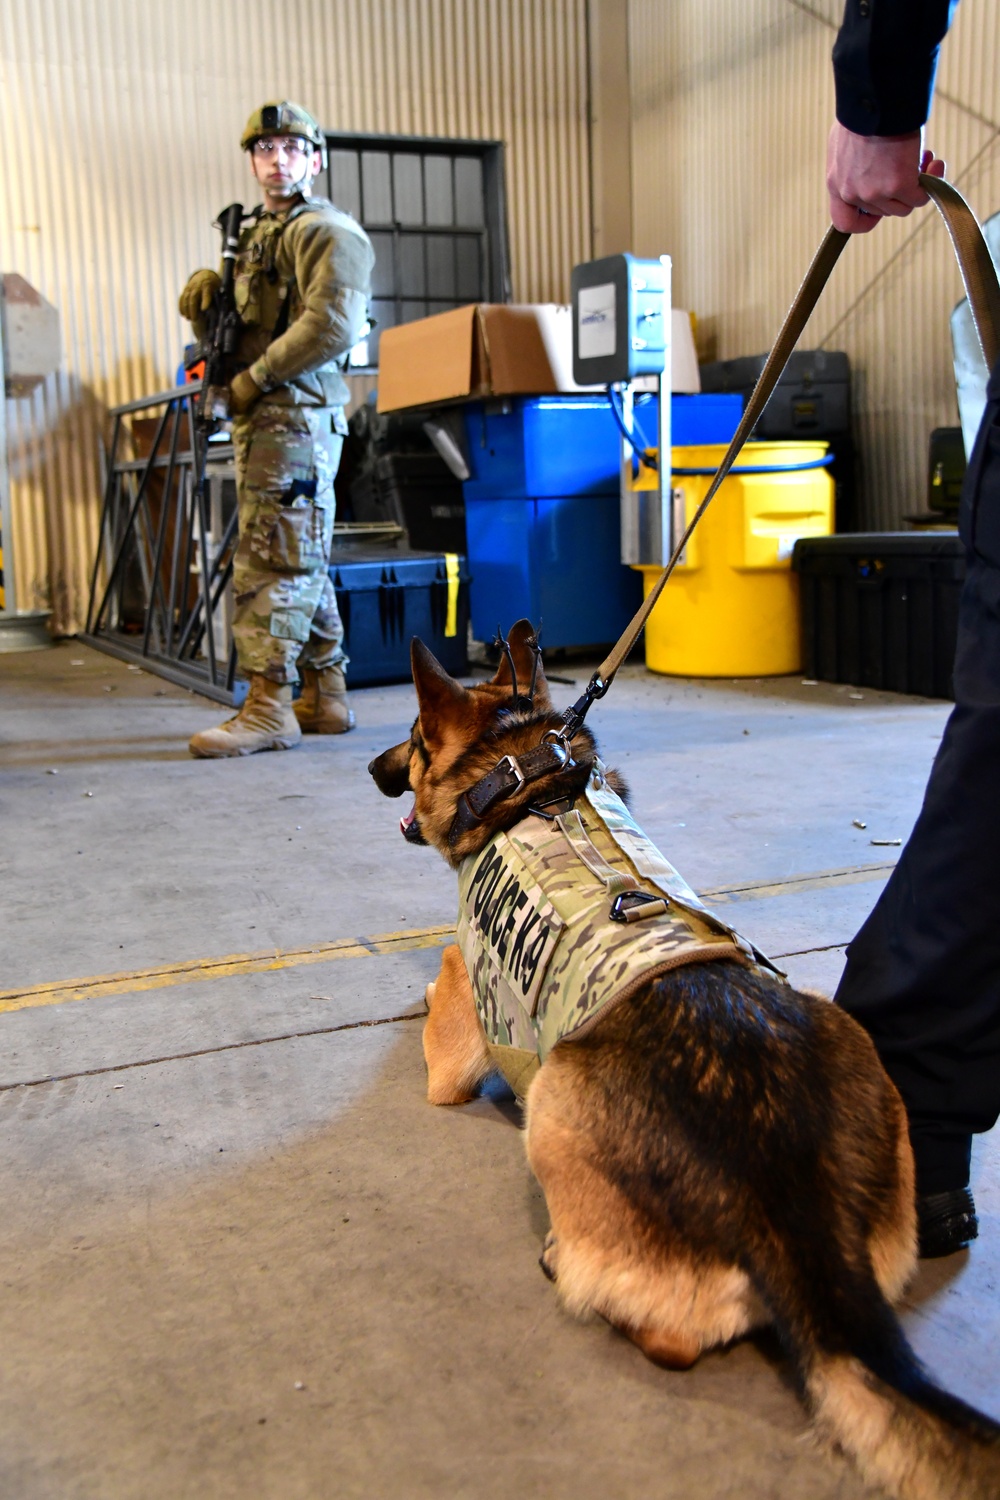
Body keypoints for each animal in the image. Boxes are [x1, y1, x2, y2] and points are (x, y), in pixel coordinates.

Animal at [370, 621, 1000, 1500]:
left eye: (417, 739)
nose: (372, 768)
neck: (522, 770)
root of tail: (784, 1187)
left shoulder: (456, 1044)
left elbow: (440, 986)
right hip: (847, 1042)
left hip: (554, 1105)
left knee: (671, 1340)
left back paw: (570, 1267)